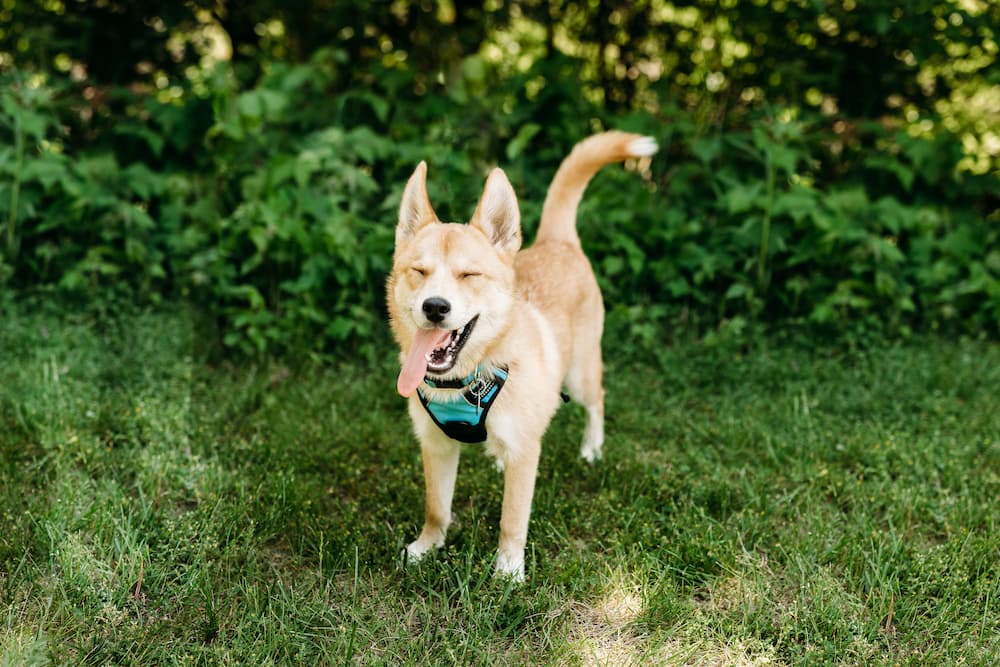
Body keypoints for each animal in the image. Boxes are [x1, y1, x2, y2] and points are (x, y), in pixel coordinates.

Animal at [386, 130, 660, 580]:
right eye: (419, 271)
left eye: (469, 274)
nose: (435, 307)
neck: (469, 376)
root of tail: (556, 242)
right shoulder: (436, 445)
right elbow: (436, 509)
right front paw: (426, 548)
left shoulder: (525, 455)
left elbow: (511, 520)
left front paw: (509, 572)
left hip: (581, 376)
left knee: (597, 401)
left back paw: (592, 449)